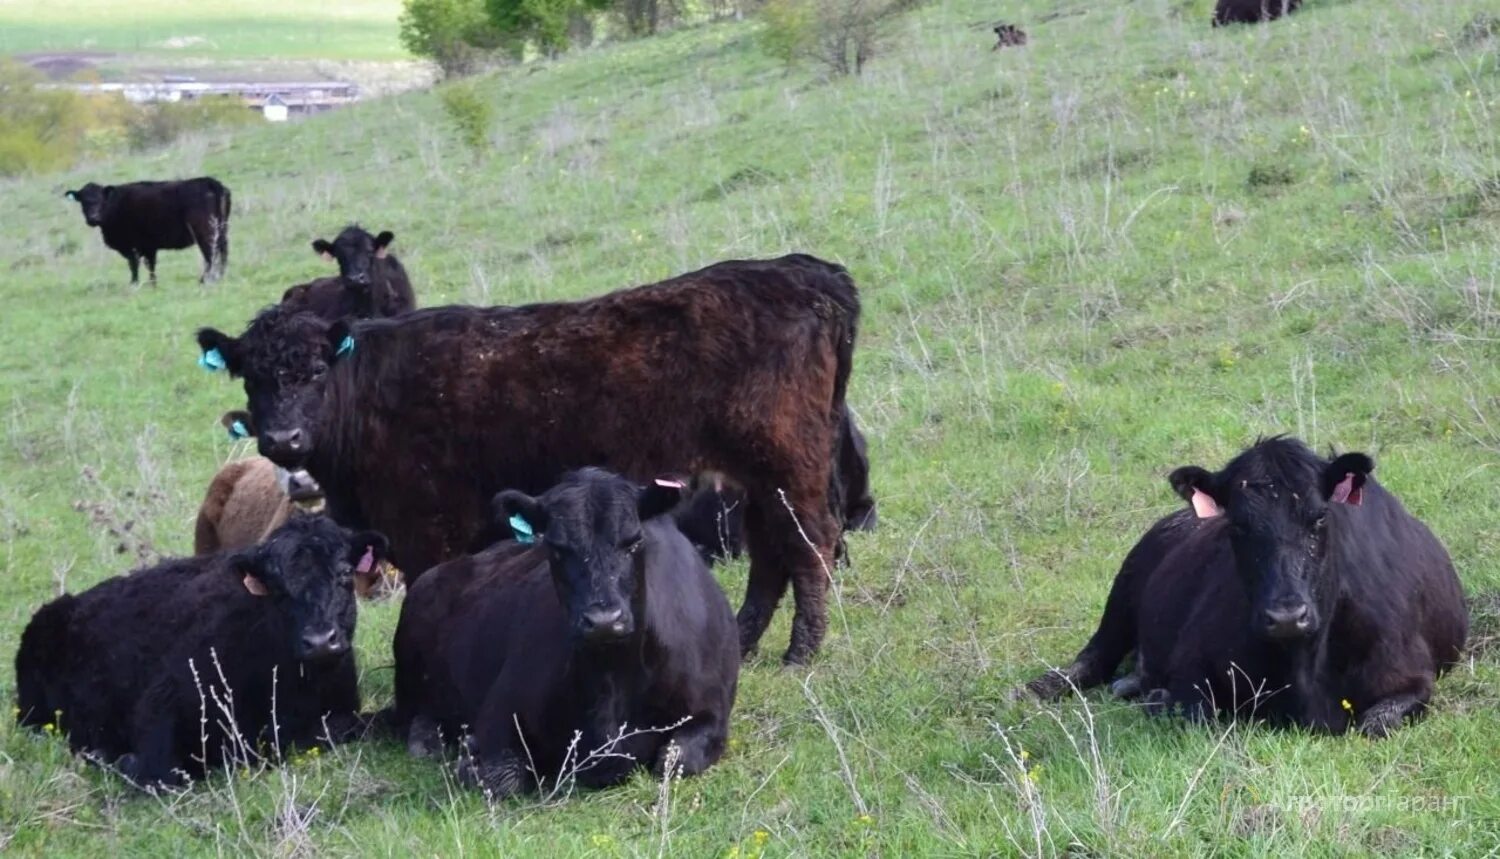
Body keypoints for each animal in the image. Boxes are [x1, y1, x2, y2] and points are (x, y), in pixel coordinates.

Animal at [13, 512, 387, 785]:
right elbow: (157, 772)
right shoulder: (160, 701)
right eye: (276, 586)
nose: (320, 640)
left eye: (345, 573)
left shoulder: (342, 710)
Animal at [64, 177, 229, 284]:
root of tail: (210, 181)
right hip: (222, 229)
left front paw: (134, 283)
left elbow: (135, 265)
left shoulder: (133, 246)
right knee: (223, 251)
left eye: (101, 199)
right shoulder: (149, 246)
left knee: (210, 254)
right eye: (83, 201)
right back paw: (220, 276)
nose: (94, 218)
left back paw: (205, 279)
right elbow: (151, 265)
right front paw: (152, 283)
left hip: (205, 231)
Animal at [193, 253, 864, 662]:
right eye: (250, 377)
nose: (284, 442)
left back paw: (802, 651)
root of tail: (804, 272)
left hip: (790, 465)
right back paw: (745, 642)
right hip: (755, 477)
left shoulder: (426, 530)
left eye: (313, 371)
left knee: (809, 544)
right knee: (771, 553)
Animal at [1026, 434, 1470, 737]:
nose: (1287, 616)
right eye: (1237, 525)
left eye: (1320, 517)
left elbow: (1375, 723)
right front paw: (1159, 698)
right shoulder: (1192, 663)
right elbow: (1196, 711)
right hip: (1122, 594)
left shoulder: (1412, 676)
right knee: (1091, 659)